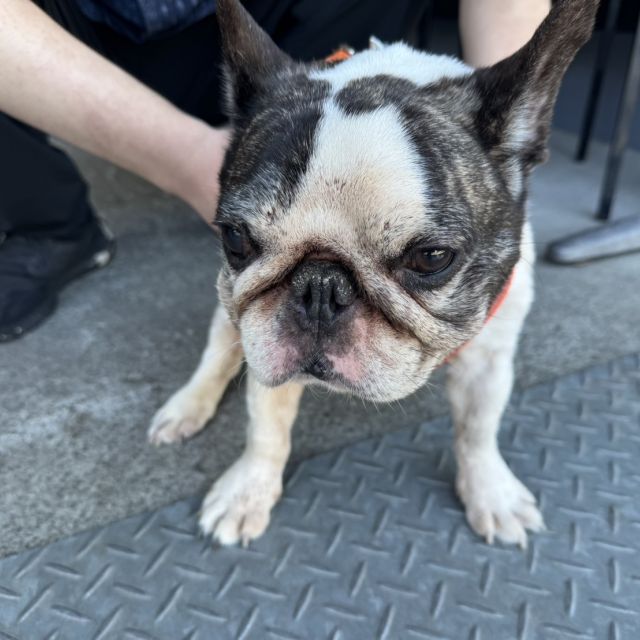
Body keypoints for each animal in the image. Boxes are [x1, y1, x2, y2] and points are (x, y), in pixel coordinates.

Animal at [149, 0, 598, 548]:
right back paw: (187, 407)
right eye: (236, 238)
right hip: (231, 309)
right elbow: (266, 431)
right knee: (217, 354)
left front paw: (490, 493)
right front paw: (247, 492)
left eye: (432, 257)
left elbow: (477, 429)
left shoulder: (488, 358)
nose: (320, 287)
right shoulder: (258, 339)